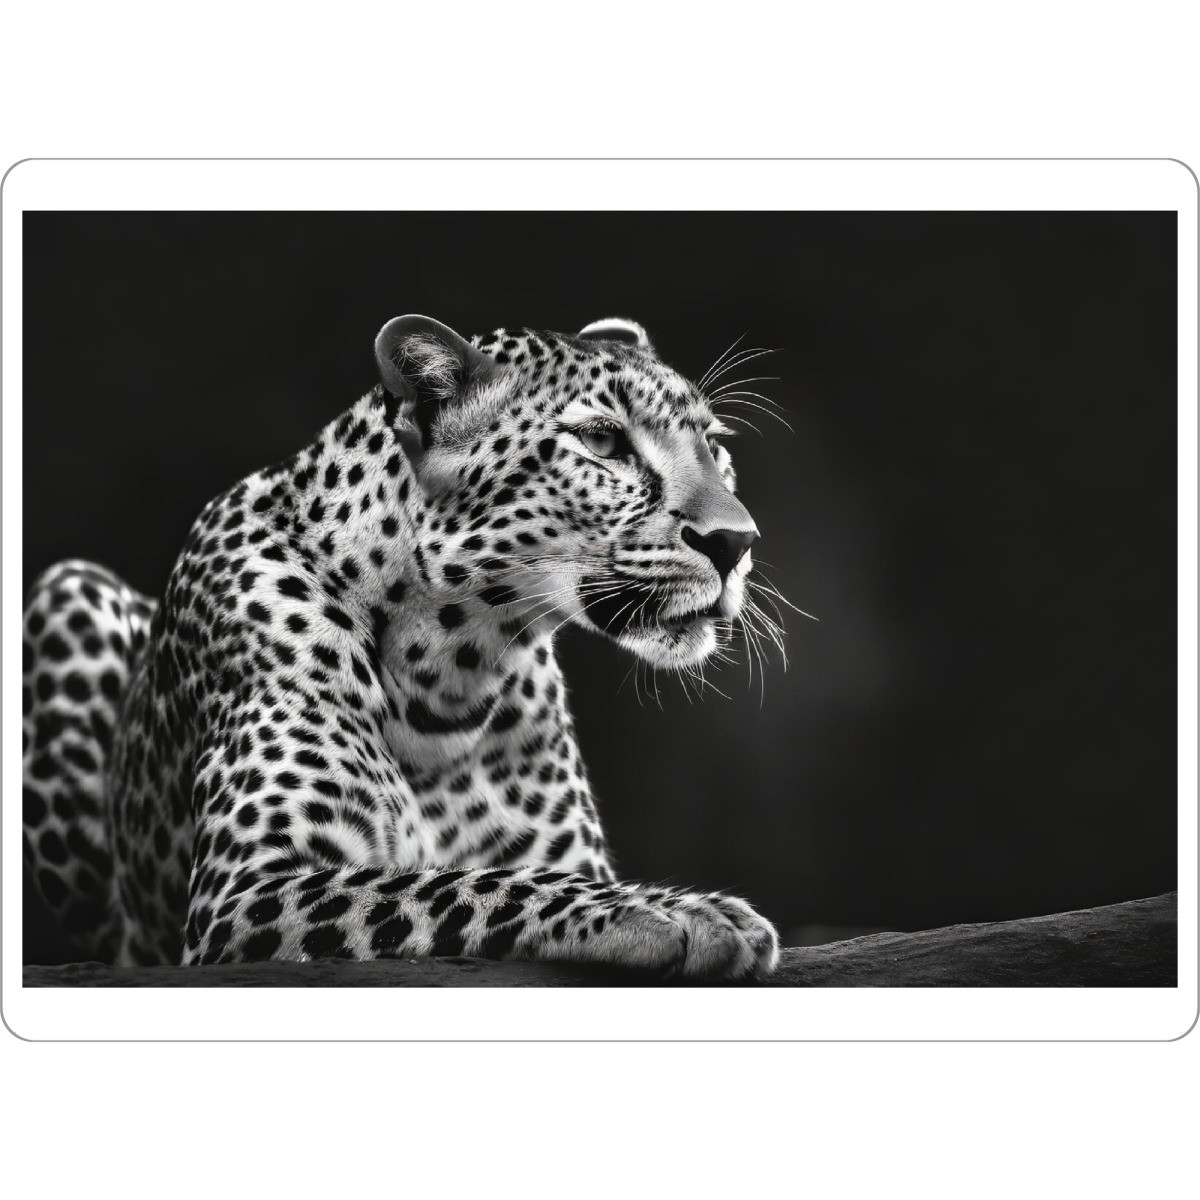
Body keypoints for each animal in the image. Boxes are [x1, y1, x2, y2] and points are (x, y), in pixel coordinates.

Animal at [22, 314, 782, 980]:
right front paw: (678, 910)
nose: (736, 543)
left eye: (714, 445)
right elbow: (462, 884)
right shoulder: (242, 894)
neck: (450, 674)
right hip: (68, 589)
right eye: (602, 441)